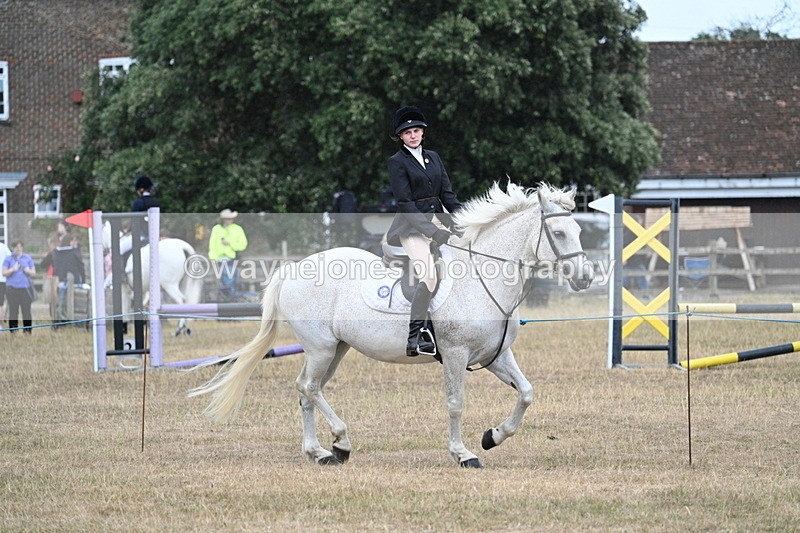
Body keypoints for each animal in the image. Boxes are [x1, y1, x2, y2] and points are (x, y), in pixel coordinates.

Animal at [189, 182, 594, 467]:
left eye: (577, 230)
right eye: (559, 234)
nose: (585, 278)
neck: (482, 277)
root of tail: (292, 268)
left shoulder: (495, 355)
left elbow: (526, 393)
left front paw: (492, 436)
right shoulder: (455, 354)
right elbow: (456, 403)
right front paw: (463, 454)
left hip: (334, 349)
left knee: (308, 391)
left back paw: (320, 452)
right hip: (321, 346)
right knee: (308, 387)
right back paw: (340, 442)